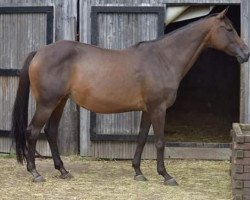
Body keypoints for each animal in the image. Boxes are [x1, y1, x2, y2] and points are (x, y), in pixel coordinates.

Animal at [11, 8, 248, 185]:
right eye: (229, 29)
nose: (246, 54)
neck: (163, 58)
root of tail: (39, 52)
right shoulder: (158, 109)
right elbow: (160, 141)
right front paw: (166, 175)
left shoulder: (147, 110)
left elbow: (142, 138)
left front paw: (138, 172)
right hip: (46, 104)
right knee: (32, 132)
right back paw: (35, 173)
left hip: (59, 102)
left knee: (50, 132)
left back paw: (63, 171)